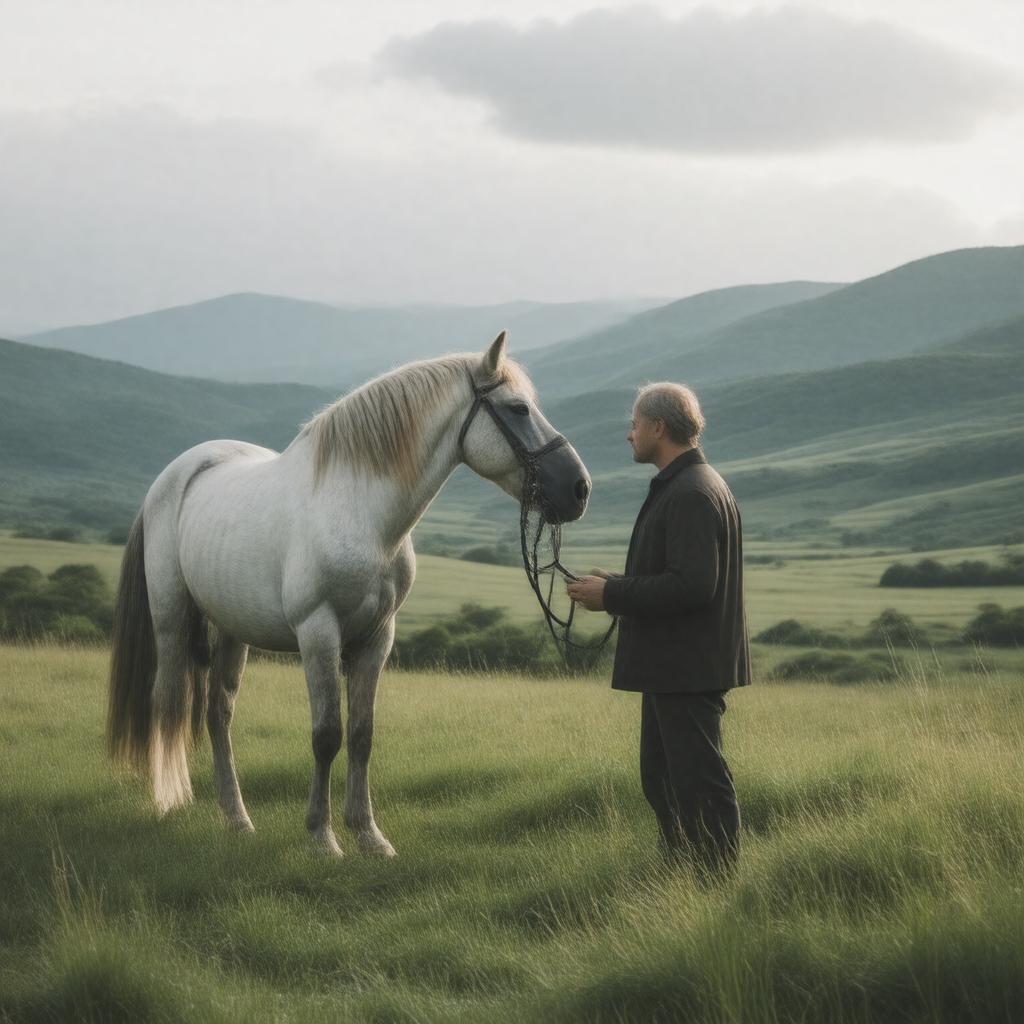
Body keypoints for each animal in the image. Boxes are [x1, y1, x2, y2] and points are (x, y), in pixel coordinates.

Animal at [107, 332, 591, 857]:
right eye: (519, 409)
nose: (579, 488)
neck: (361, 513)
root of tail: (176, 473)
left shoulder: (377, 638)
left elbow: (361, 735)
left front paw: (369, 835)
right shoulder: (319, 633)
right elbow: (326, 735)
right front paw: (322, 837)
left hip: (233, 630)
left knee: (219, 714)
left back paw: (237, 819)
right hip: (171, 621)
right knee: (167, 703)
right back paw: (169, 800)